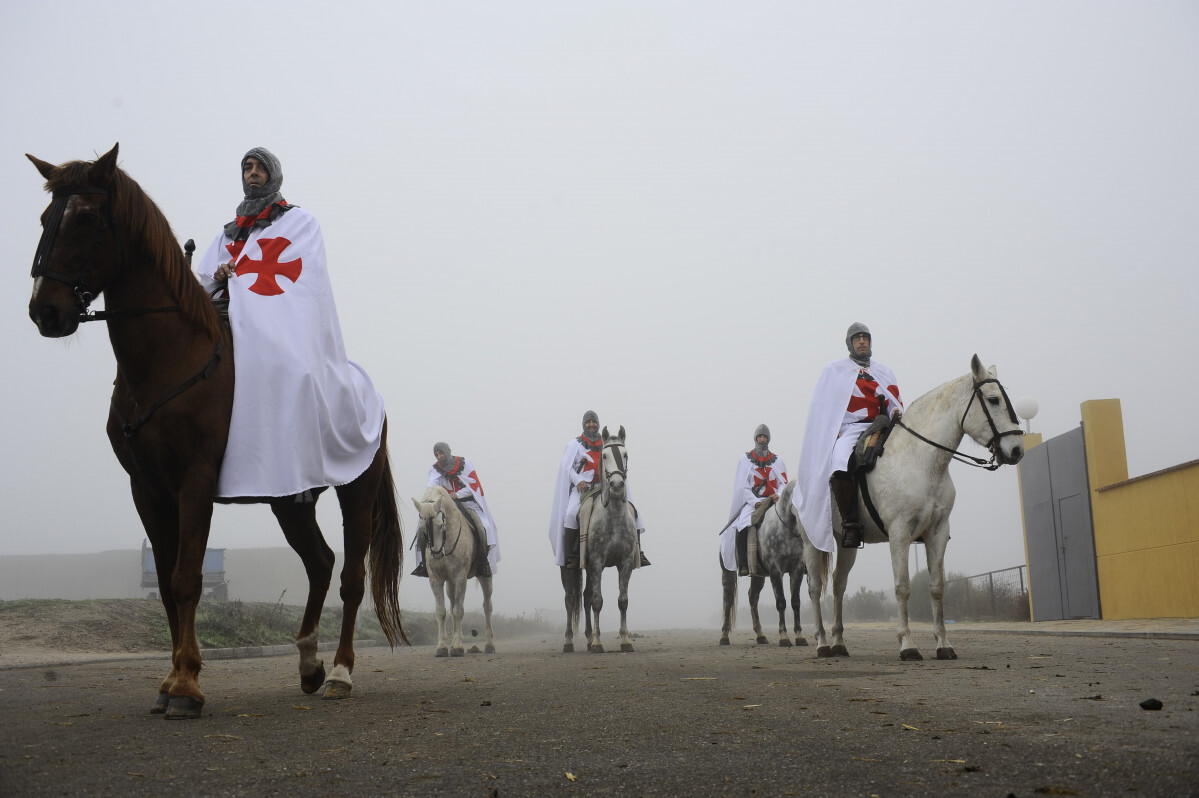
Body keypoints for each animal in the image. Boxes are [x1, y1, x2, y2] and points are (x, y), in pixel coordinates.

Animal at [25, 144, 406, 719]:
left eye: (87, 218)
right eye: (48, 217)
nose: (45, 311)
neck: (169, 360)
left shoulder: (195, 482)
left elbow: (187, 580)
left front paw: (186, 686)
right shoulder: (148, 490)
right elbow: (164, 584)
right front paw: (168, 682)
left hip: (355, 493)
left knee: (350, 578)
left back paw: (340, 672)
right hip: (289, 500)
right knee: (319, 564)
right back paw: (308, 662)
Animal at [411, 486, 495, 657]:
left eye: (440, 525)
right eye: (422, 528)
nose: (436, 554)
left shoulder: (460, 577)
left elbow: (458, 610)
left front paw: (457, 647)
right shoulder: (436, 579)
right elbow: (442, 611)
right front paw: (442, 647)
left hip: (485, 577)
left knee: (487, 607)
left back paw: (489, 645)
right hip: (450, 582)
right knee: (451, 604)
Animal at [719, 480, 809, 647]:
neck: (784, 529)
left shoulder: (797, 569)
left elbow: (795, 602)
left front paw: (800, 636)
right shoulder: (775, 570)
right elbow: (781, 602)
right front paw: (784, 637)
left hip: (758, 575)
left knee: (752, 597)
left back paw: (760, 635)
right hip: (727, 572)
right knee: (728, 600)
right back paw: (724, 636)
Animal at [799, 354, 1025, 661]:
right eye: (993, 400)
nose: (1017, 450)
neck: (922, 460)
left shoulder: (937, 532)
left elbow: (937, 587)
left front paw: (943, 644)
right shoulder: (900, 532)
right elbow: (903, 587)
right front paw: (907, 644)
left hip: (846, 543)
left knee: (838, 585)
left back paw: (839, 642)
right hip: (812, 542)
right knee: (814, 588)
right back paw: (822, 643)